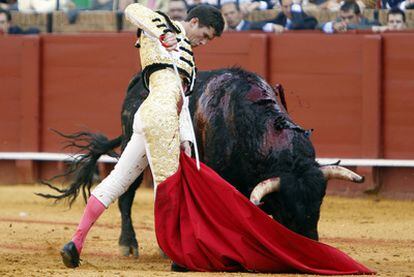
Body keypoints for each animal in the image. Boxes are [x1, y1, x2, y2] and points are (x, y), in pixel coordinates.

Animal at [38, 67, 362, 256]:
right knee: (126, 195)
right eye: (287, 204)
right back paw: (128, 245)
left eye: (319, 202)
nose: (310, 243)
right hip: (135, 149)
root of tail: (136, 86)